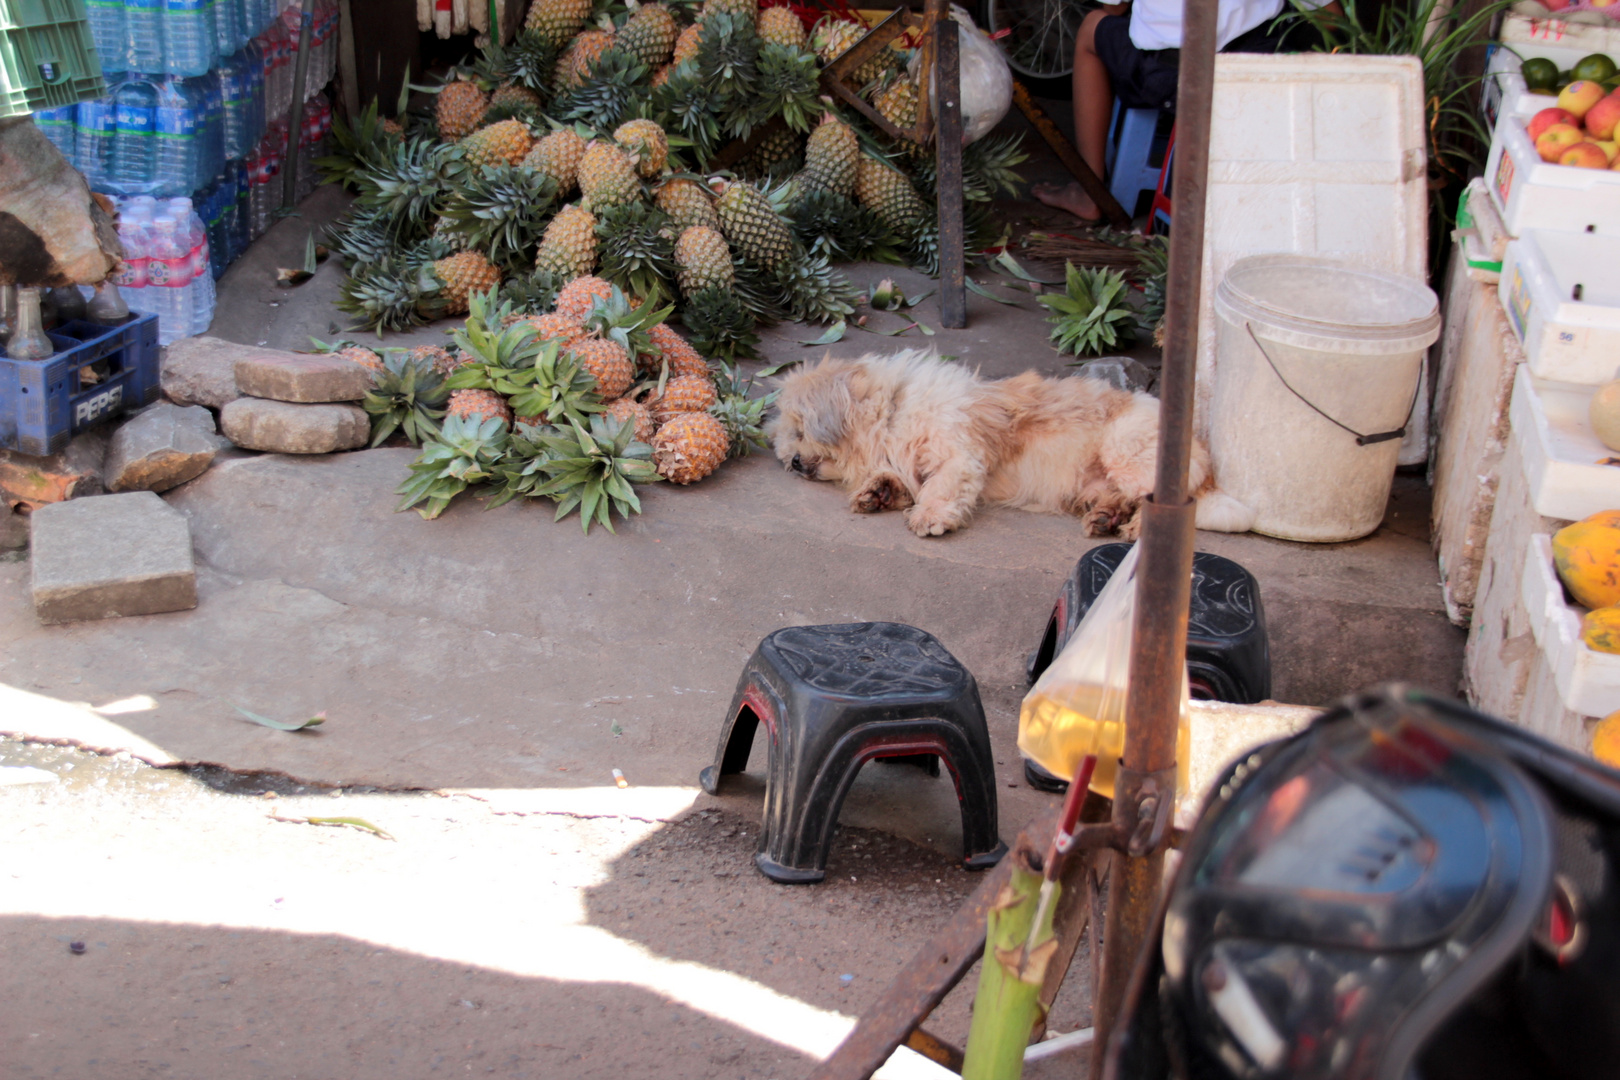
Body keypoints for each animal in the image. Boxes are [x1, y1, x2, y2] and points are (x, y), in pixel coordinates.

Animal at [764, 351, 1257, 540]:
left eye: (799, 427)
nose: (792, 462)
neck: (893, 410)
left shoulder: (958, 456)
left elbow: (940, 489)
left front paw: (929, 517)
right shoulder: (908, 463)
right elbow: (901, 482)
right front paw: (877, 492)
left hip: (1127, 452)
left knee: (1166, 502)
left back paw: (1136, 528)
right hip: (1098, 483)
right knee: (1118, 499)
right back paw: (1105, 519)